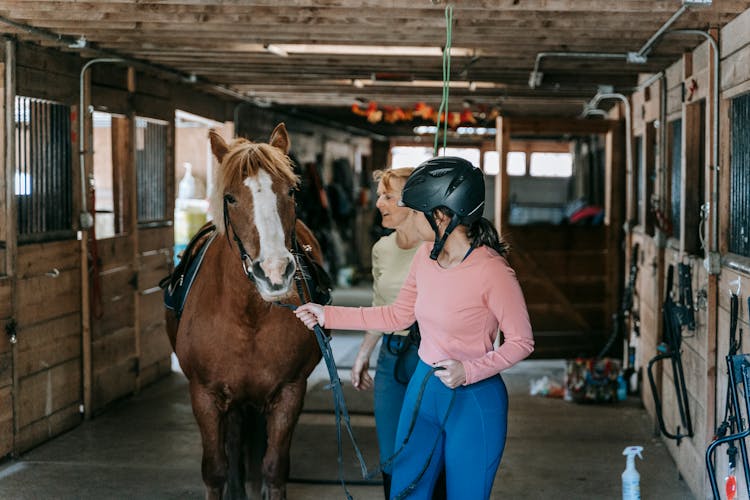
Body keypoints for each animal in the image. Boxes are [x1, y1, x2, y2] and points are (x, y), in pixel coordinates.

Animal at [169, 123, 328, 498]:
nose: (274, 272)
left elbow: (274, 469)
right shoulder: (205, 396)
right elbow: (215, 470)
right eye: (230, 197)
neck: (247, 317)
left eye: (291, 192)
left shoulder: (289, 393)